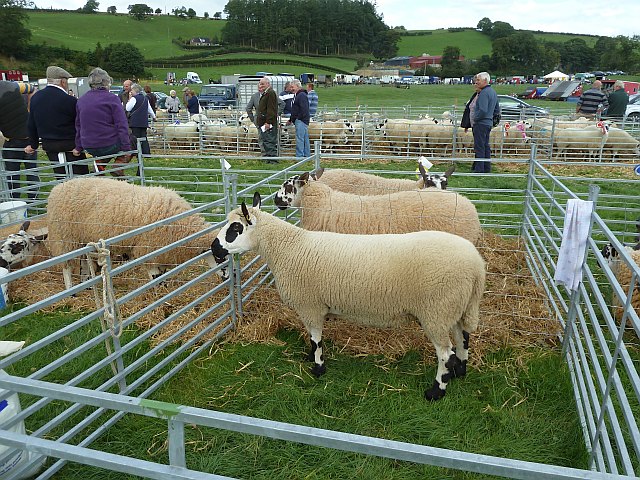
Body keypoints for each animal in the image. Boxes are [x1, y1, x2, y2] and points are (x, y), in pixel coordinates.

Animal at [211, 192, 484, 402]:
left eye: (236, 228)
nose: (214, 248)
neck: (287, 248)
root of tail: (476, 265)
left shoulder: (310, 305)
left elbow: (316, 339)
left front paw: (318, 368)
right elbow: (312, 338)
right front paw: (310, 358)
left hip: (436, 311)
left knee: (445, 355)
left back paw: (436, 391)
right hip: (455, 308)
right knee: (462, 339)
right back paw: (460, 372)